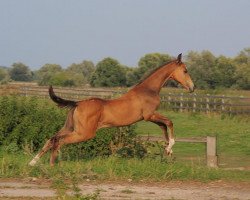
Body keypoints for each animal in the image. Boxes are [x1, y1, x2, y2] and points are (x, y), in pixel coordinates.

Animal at [28, 52, 193, 166]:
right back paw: (52, 165)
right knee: (59, 141)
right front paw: (170, 147)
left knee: (52, 138)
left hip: (69, 127)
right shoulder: (149, 115)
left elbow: (164, 127)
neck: (148, 90)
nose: (192, 87)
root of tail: (77, 103)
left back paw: (33, 162)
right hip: (84, 133)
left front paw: (168, 151)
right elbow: (169, 122)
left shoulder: (151, 117)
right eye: (185, 70)